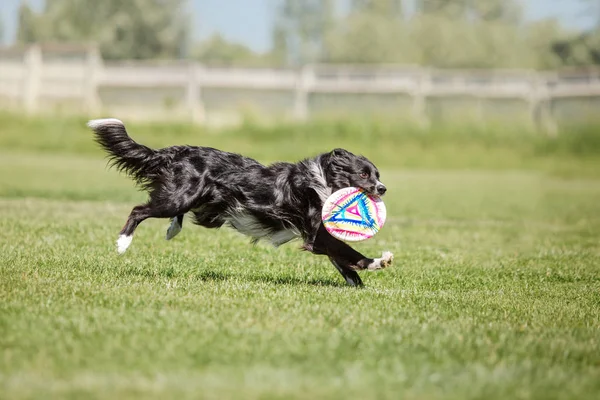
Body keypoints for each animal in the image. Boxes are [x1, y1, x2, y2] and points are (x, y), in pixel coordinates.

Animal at [86, 117, 392, 286]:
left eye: (377, 174)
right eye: (363, 174)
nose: (383, 188)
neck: (323, 182)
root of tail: (179, 152)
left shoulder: (320, 236)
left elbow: (341, 260)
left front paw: (357, 282)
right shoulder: (315, 233)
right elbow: (346, 251)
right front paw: (378, 261)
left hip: (203, 205)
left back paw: (172, 229)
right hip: (178, 198)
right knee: (139, 209)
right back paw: (123, 242)